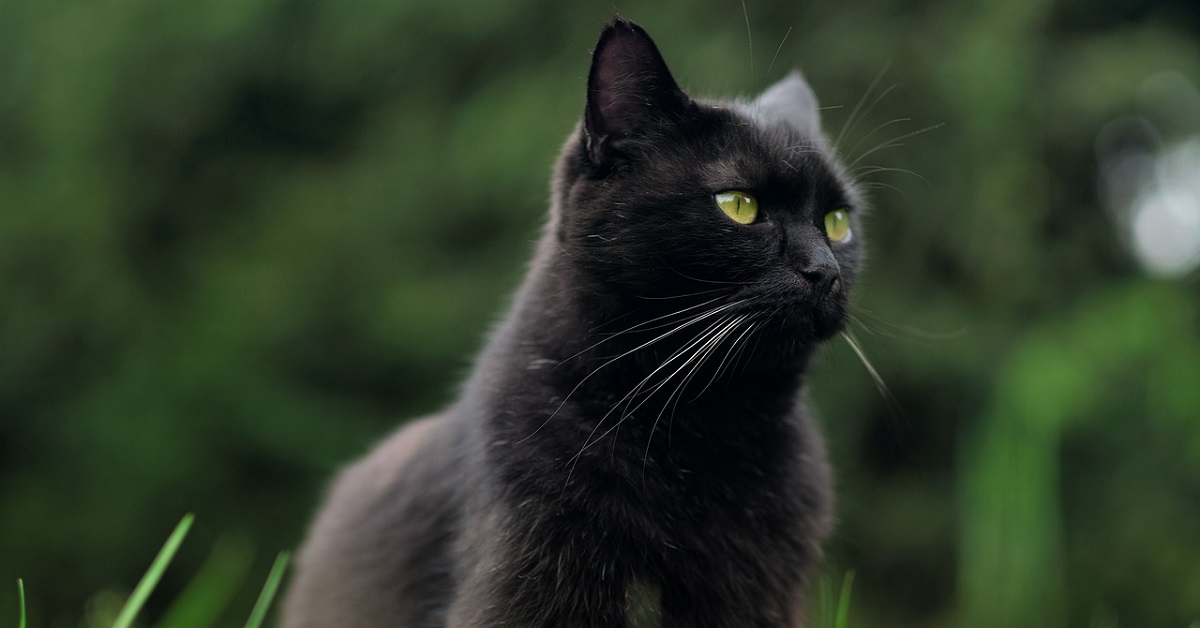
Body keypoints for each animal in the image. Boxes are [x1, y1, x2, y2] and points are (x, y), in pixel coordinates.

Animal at [280, 17, 864, 624]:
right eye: (739, 205)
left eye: (837, 221)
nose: (824, 271)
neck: (700, 426)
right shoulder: (533, 574)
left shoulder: (755, 593)